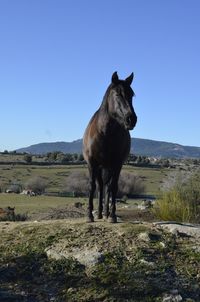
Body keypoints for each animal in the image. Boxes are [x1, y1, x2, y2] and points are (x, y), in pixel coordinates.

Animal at [83, 71, 138, 222]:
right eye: (118, 94)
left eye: (132, 95)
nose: (131, 119)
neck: (105, 133)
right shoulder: (92, 163)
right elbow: (92, 186)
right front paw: (89, 215)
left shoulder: (117, 164)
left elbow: (113, 187)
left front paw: (112, 216)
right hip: (101, 167)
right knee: (101, 186)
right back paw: (100, 213)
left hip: (108, 167)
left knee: (107, 187)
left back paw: (106, 213)